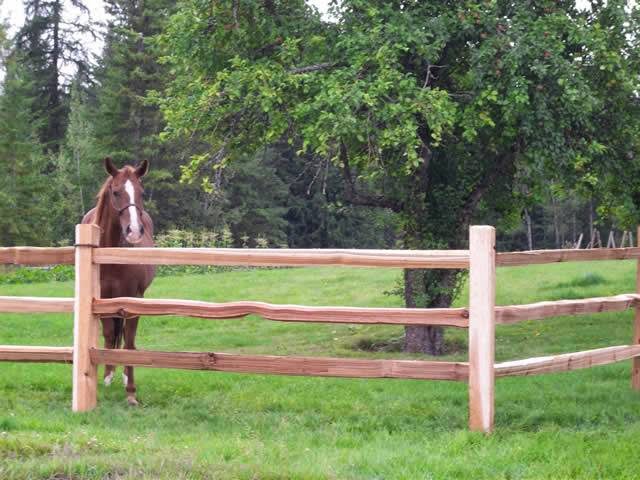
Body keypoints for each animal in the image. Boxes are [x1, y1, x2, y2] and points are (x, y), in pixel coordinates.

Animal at [82, 157, 156, 404]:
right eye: (115, 192)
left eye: (141, 192)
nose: (134, 231)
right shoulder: (103, 297)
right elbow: (108, 334)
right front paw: (106, 376)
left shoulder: (134, 298)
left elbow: (130, 341)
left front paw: (131, 390)